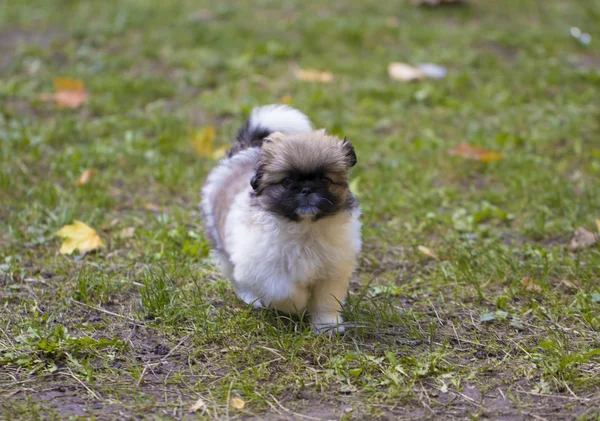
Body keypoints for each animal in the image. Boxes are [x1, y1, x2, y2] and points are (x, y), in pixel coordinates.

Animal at [202, 104, 360, 332]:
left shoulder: (331, 271)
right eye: (286, 182)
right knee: (237, 279)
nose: (306, 189)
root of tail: (243, 151)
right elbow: (286, 292)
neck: (305, 229)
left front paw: (326, 325)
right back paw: (251, 298)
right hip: (224, 250)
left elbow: (326, 300)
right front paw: (299, 304)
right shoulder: (265, 271)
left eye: (325, 180)